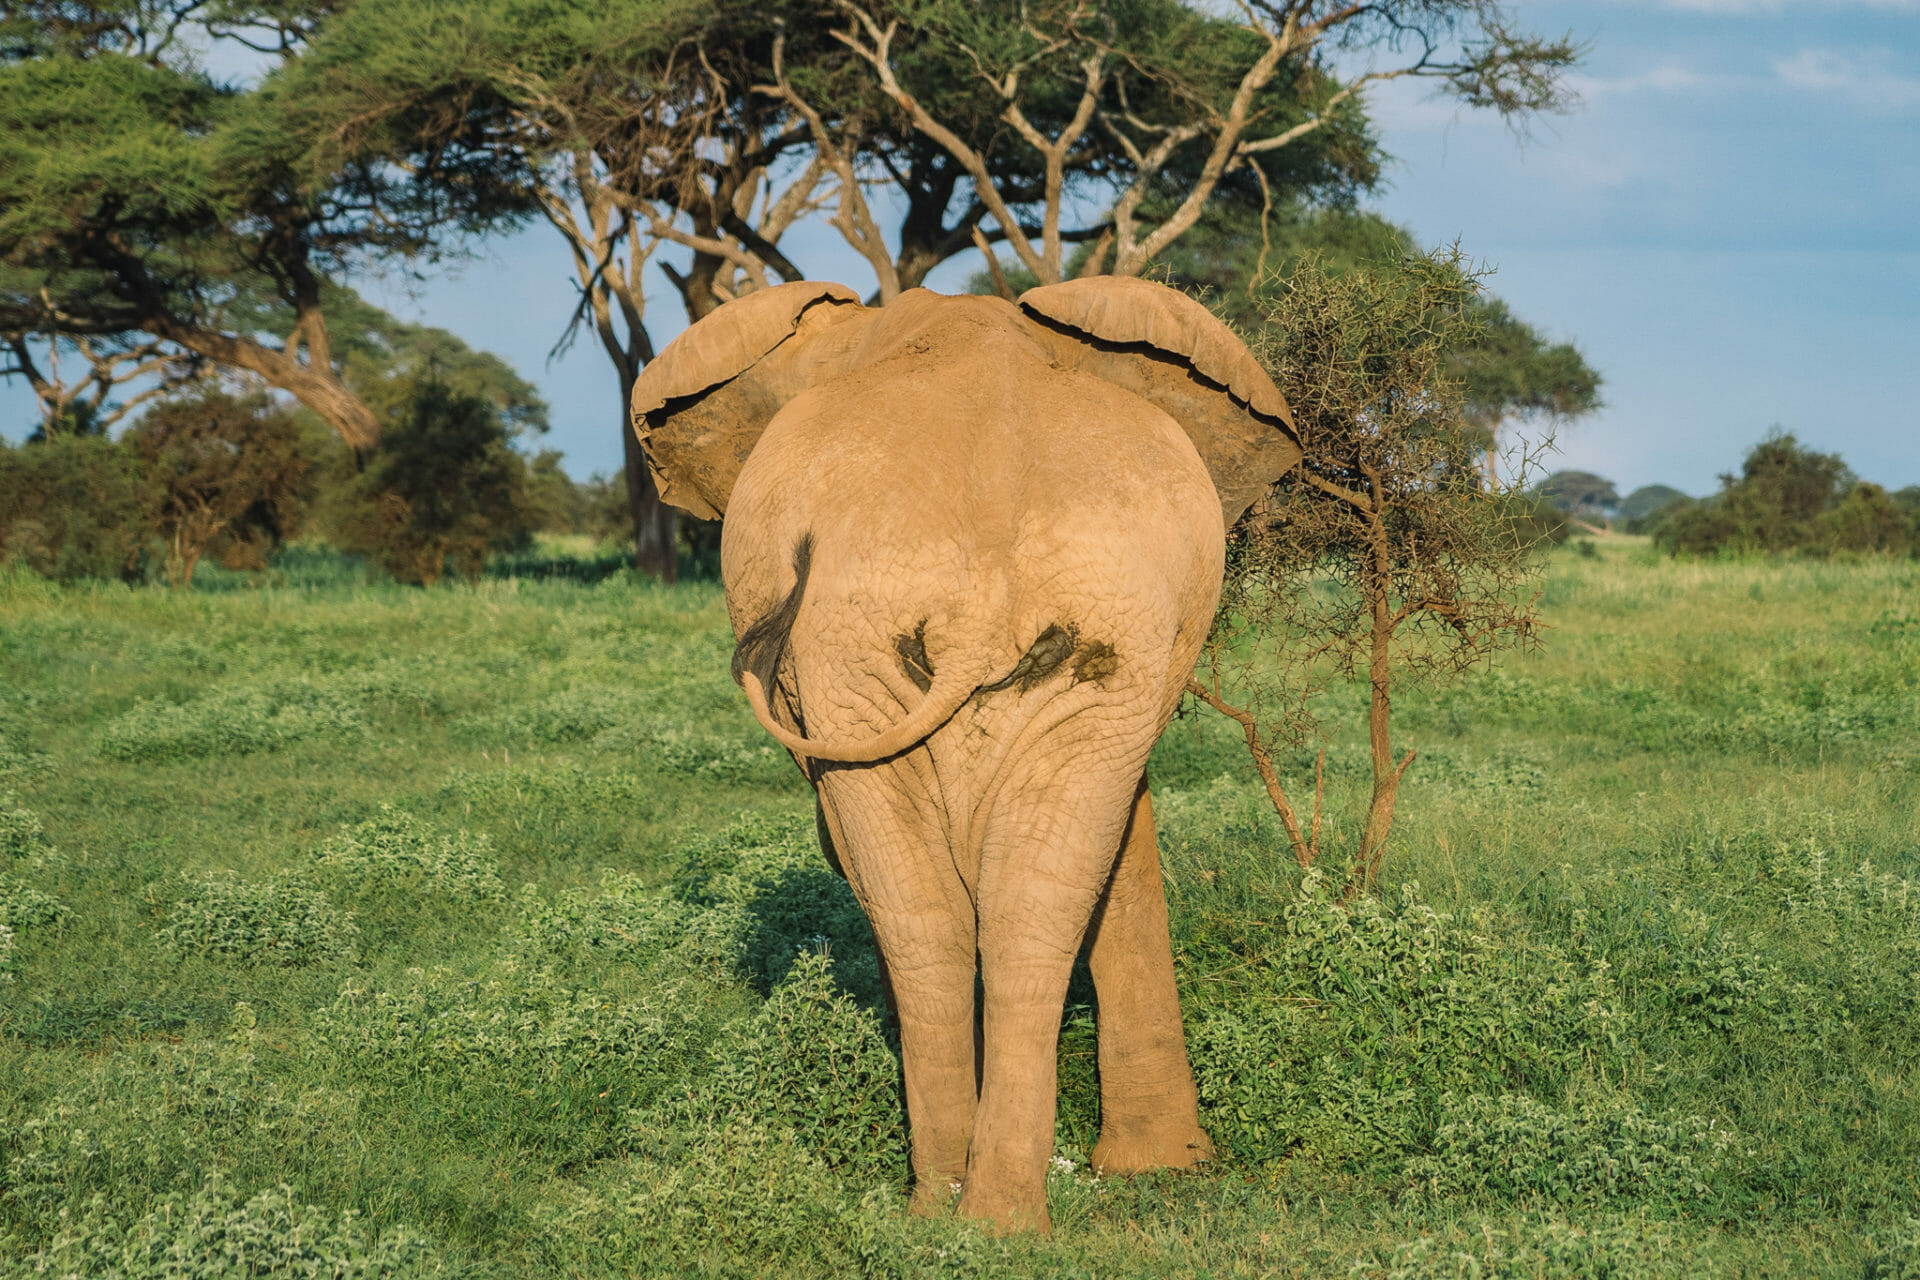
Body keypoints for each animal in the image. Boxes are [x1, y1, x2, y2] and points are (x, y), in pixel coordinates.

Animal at [630, 278, 1301, 1232]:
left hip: (864, 651)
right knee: (1004, 903)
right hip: (957, 645)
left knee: (943, 902)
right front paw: (1166, 1172)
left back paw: (957, 1209)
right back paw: (983, 1216)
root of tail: (975, 607)